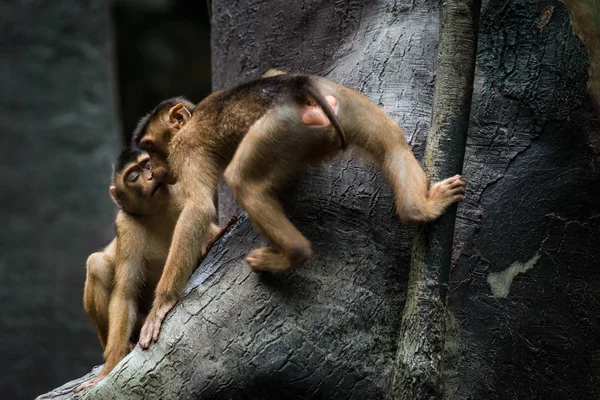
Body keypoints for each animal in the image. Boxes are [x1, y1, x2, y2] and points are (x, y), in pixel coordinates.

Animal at [76, 149, 223, 390]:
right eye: (134, 176)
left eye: (147, 165)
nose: (151, 176)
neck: (158, 211)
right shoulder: (126, 224)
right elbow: (125, 293)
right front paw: (111, 364)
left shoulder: (178, 189)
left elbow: (200, 213)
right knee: (96, 263)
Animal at [134, 73, 466, 348]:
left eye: (150, 149)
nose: (153, 170)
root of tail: (300, 89)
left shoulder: (185, 148)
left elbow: (198, 208)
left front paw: (161, 305)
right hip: (343, 101)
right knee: (392, 141)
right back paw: (420, 208)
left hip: (281, 126)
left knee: (243, 181)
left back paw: (291, 253)